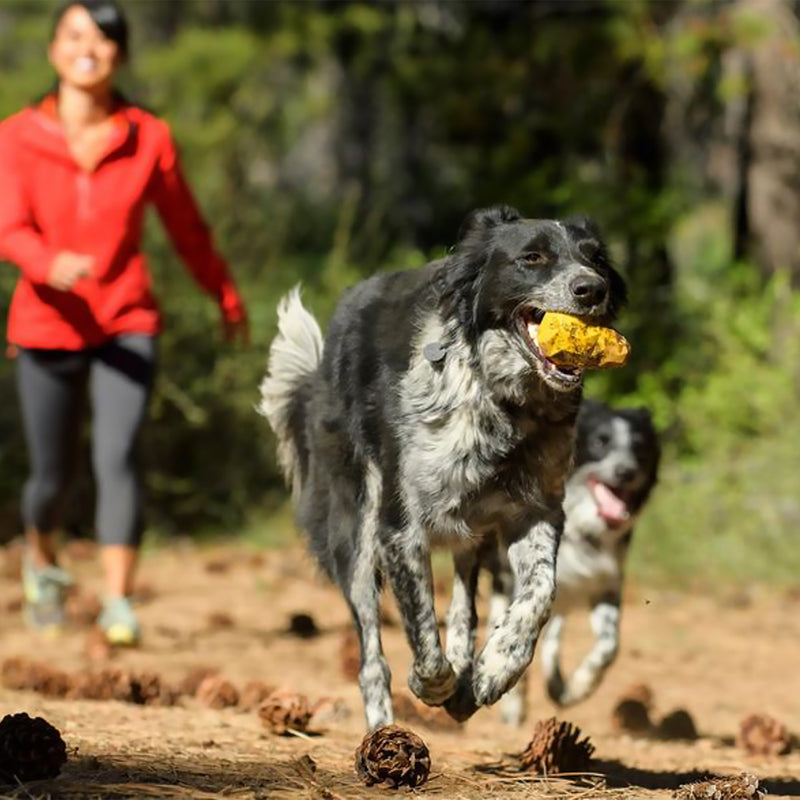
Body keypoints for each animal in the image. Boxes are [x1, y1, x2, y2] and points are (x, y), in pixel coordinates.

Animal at [260, 206, 628, 732]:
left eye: (595, 258)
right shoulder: (400, 528)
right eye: (532, 258)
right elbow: (421, 633)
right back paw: (384, 728)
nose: (591, 289)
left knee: (462, 603)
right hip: (355, 531)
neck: (502, 402)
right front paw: (432, 684)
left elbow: (538, 595)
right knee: (372, 658)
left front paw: (495, 668)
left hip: (470, 529)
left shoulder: (536, 511)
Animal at [488, 400, 664, 724]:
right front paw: (510, 700)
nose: (626, 471)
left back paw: (557, 686)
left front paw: (579, 686)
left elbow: (609, 645)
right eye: (599, 442)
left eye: (639, 446)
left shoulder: (605, 583)